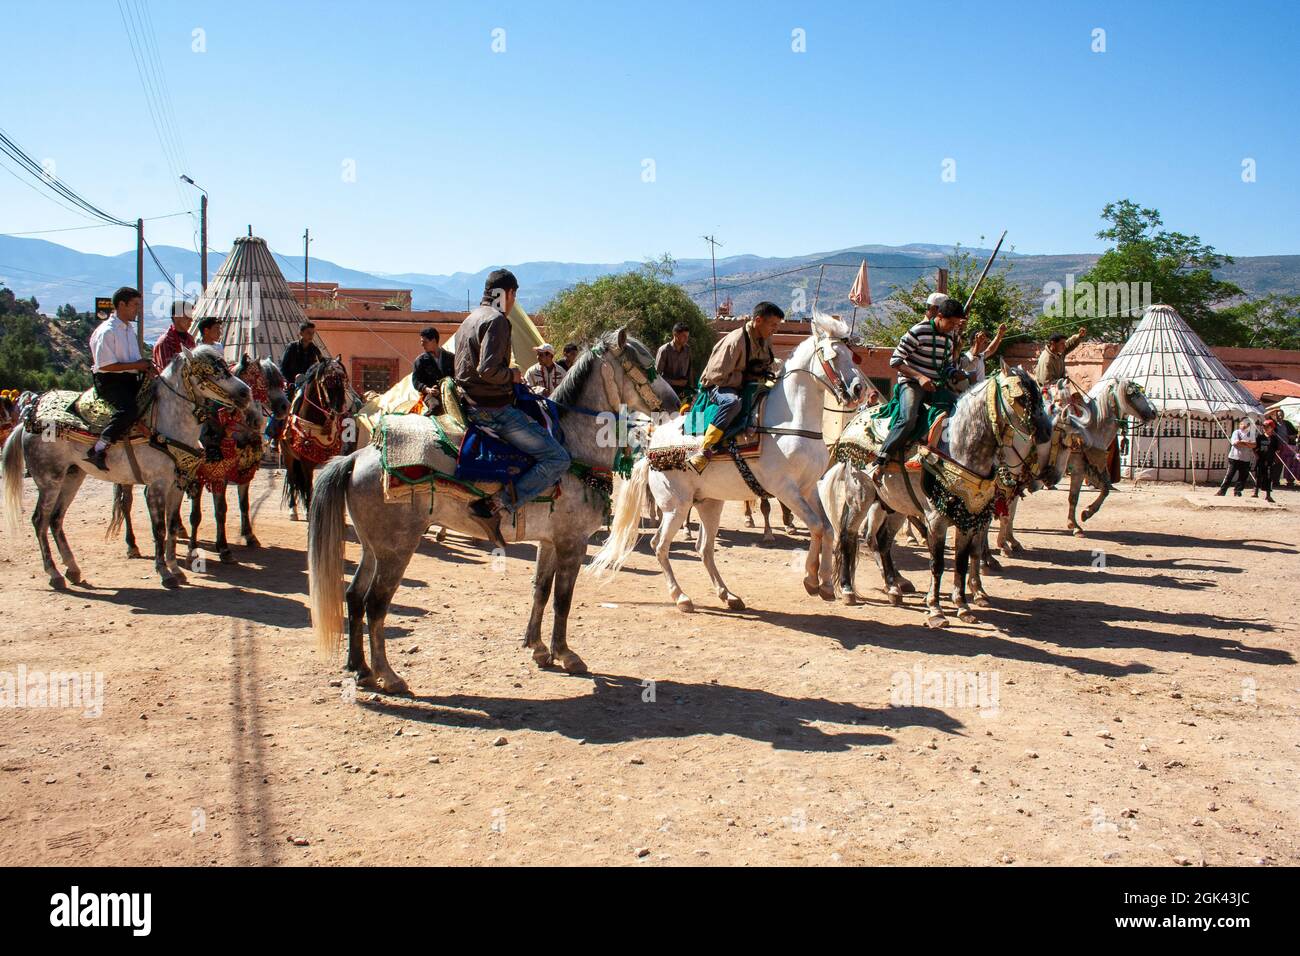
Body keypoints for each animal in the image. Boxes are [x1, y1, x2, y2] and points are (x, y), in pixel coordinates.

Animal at [2, 348, 252, 590]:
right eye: (211, 372)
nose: (245, 393)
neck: (165, 422)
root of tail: (27, 421)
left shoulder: (177, 484)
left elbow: (172, 526)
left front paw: (176, 569)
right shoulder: (156, 486)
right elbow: (159, 529)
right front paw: (164, 573)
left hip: (72, 476)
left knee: (55, 519)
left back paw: (72, 569)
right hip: (49, 480)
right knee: (39, 520)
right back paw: (53, 573)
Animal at [109, 361, 289, 567]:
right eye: (262, 382)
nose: (285, 407)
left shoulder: (238, 471)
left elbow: (239, 506)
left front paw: (246, 538)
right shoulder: (201, 475)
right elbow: (199, 515)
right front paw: (203, 548)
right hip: (128, 473)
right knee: (126, 503)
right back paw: (132, 545)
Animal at [305, 329, 676, 697]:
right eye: (646, 365)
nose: (674, 403)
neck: (572, 447)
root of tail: (358, 456)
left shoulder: (550, 541)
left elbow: (541, 590)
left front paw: (538, 648)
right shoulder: (572, 542)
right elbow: (563, 599)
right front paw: (566, 654)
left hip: (373, 548)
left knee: (354, 597)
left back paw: (360, 669)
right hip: (397, 549)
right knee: (375, 604)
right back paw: (388, 675)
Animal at [590, 314, 863, 613]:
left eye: (852, 355)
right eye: (834, 356)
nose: (859, 389)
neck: (789, 423)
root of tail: (652, 447)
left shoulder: (808, 487)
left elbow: (827, 528)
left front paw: (823, 582)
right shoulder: (785, 490)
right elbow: (816, 526)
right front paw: (812, 580)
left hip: (709, 504)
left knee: (704, 548)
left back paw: (728, 594)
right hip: (675, 506)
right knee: (659, 544)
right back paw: (681, 597)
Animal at [821, 364, 1055, 629]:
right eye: (1021, 398)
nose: (1046, 432)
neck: (958, 448)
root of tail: (850, 426)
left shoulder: (970, 516)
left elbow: (964, 560)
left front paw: (964, 604)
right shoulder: (937, 520)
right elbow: (938, 563)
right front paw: (936, 609)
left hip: (895, 505)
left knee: (882, 541)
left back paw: (893, 587)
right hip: (860, 497)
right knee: (849, 536)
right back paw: (848, 589)